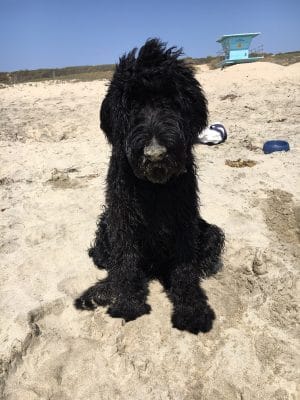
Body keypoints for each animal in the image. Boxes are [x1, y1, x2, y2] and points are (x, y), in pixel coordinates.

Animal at [76, 39, 224, 334]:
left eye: (171, 101)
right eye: (132, 105)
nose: (155, 154)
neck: (153, 186)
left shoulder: (184, 217)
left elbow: (185, 269)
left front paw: (193, 309)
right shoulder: (122, 216)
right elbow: (125, 261)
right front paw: (127, 303)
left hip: (210, 232)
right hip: (104, 227)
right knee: (112, 264)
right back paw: (101, 291)